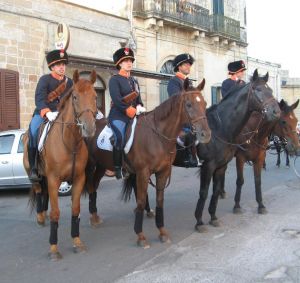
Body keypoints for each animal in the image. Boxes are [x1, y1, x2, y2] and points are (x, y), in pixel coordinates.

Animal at [23, 70, 96, 260]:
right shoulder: (54, 179)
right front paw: (54, 248)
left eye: (95, 96)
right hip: (36, 176)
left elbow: (76, 209)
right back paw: (41, 217)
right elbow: (56, 212)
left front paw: (77, 241)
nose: (89, 128)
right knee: (39, 191)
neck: (70, 143)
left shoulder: (78, 179)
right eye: (75, 97)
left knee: (45, 195)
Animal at [84, 79, 211, 247]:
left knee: (94, 187)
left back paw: (95, 216)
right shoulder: (143, 172)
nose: (206, 134)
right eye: (189, 104)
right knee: (90, 186)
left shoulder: (163, 172)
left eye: (204, 103)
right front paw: (140, 235)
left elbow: (159, 200)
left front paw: (162, 232)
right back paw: (92, 218)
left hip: (101, 166)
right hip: (90, 166)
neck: (157, 136)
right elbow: (140, 200)